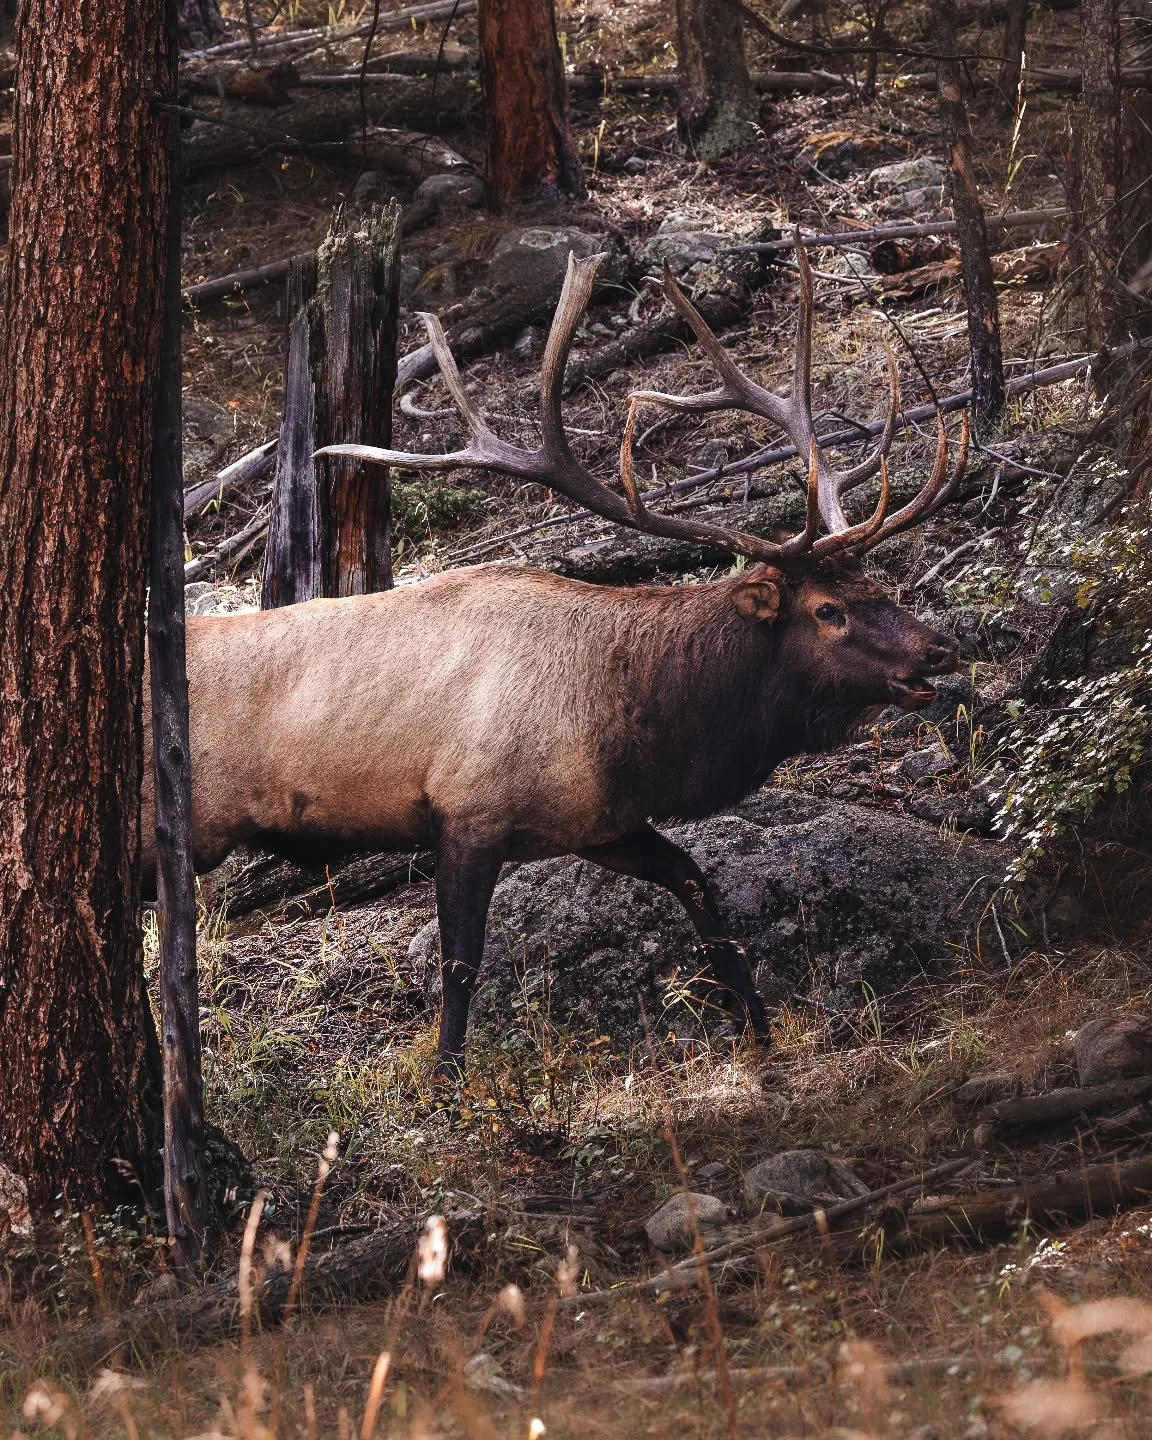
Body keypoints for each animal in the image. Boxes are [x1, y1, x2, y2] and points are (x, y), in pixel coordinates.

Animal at [143, 240, 967, 1080]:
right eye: (828, 610)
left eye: (875, 583)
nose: (941, 647)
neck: (635, 725)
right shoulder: (466, 809)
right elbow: (461, 964)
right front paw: (447, 1081)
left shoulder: (598, 822)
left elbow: (699, 887)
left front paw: (759, 1027)